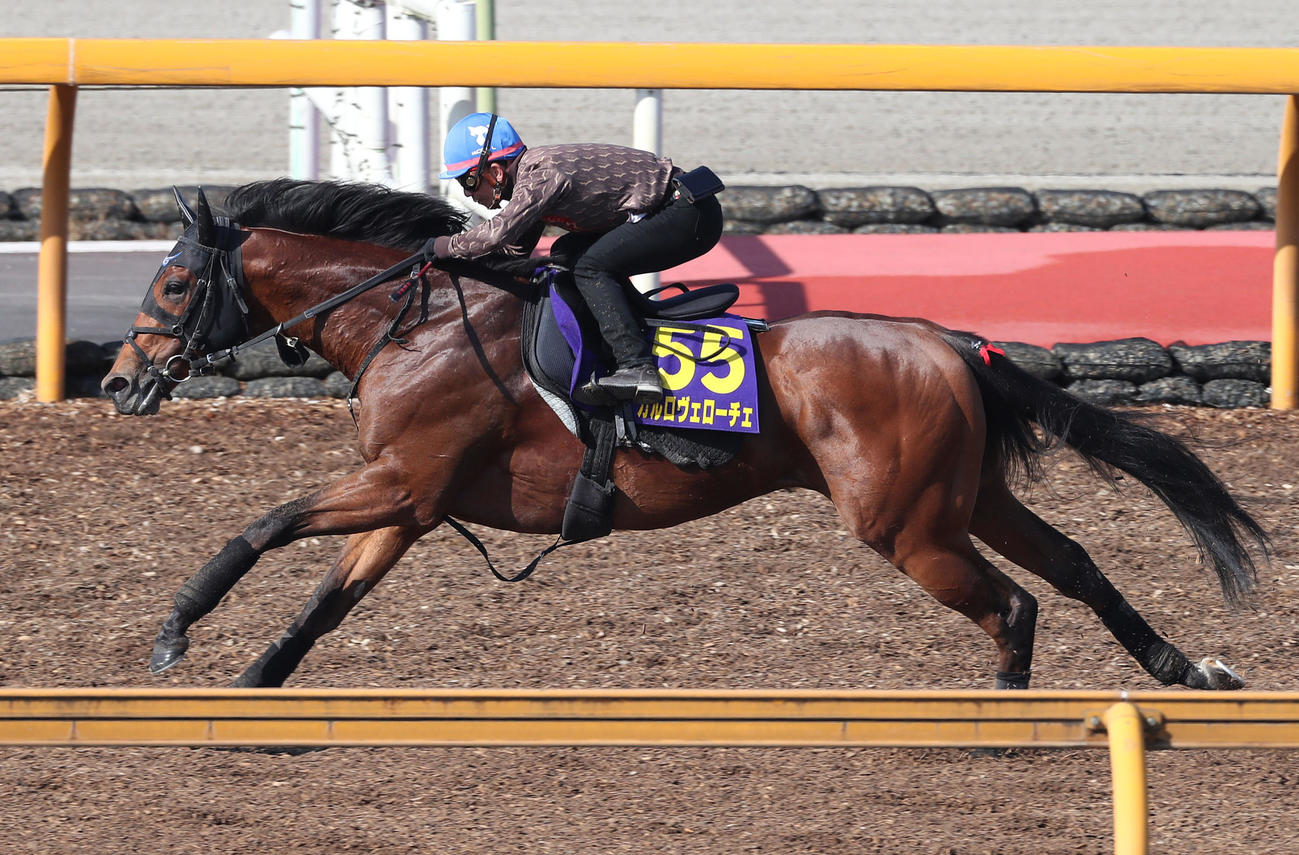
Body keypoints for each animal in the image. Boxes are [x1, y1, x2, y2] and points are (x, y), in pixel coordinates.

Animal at [101, 178, 1268, 691]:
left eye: (173, 282)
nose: (118, 382)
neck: (417, 319)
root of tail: (947, 341)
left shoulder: (400, 482)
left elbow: (259, 529)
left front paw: (173, 635)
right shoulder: (411, 499)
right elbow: (323, 603)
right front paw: (251, 684)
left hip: (906, 524)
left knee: (1014, 604)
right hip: (966, 497)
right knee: (1070, 566)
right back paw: (1180, 666)